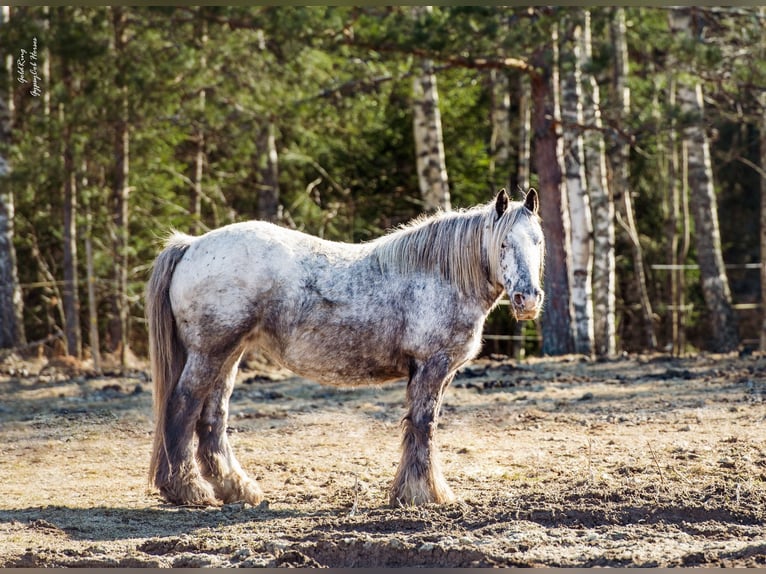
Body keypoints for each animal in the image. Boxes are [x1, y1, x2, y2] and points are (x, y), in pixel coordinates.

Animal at [146, 188, 544, 508]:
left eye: (538, 241)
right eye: (504, 243)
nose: (527, 299)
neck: (441, 275)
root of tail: (192, 244)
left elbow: (419, 428)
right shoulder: (431, 367)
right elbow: (423, 426)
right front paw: (425, 495)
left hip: (228, 355)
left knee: (213, 418)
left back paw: (237, 490)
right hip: (209, 353)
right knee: (182, 407)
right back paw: (188, 490)